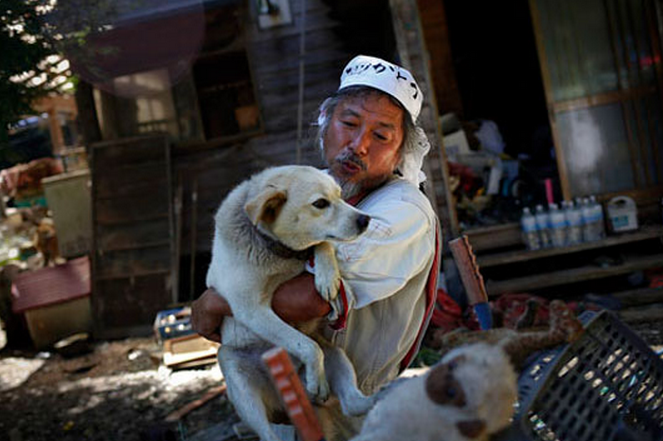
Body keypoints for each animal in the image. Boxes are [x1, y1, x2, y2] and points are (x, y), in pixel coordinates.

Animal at [208, 164, 374, 440]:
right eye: (320, 203)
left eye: (340, 195)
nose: (366, 219)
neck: (279, 253)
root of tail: (289, 399)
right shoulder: (252, 309)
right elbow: (307, 346)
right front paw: (317, 379)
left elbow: (323, 243)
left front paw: (327, 277)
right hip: (235, 370)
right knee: (268, 435)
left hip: (336, 354)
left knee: (352, 404)